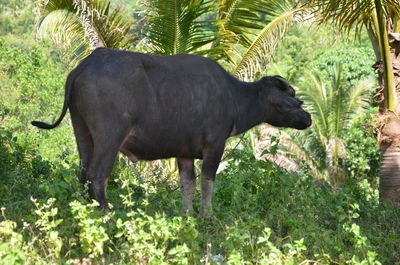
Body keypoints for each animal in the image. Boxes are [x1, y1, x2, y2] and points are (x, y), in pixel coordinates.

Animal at [32, 47, 312, 217]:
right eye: (294, 98)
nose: (308, 118)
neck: (234, 97)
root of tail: (85, 66)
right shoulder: (215, 146)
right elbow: (207, 181)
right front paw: (206, 215)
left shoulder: (184, 153)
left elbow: (187, 183)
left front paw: (187, 214)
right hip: (109, 137)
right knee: (96, 173)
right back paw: (106, 211)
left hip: (81, 130)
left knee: (82, 171)